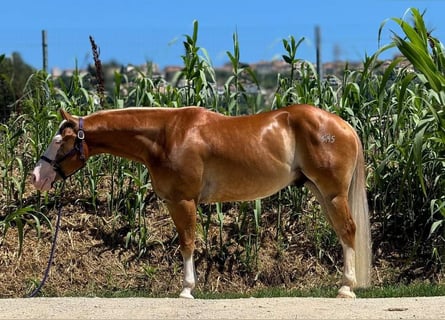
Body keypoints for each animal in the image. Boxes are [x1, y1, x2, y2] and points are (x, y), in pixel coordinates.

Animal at [31, 104, 372, 298]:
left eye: (59, 141)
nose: (36, 176)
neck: (165, 136)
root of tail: (344, 125)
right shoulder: (176, 202)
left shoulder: (182, 201)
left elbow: (187, 244)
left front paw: (186, 290)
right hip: (321, 192)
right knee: (343, 233)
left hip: (333, 193)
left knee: (348, 231)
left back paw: (346, 289)